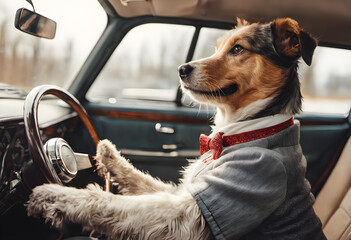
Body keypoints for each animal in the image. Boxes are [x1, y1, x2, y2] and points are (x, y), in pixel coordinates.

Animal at [25, 17, 328, 239]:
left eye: (238, 49)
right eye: (217, 47)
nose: (182, 69)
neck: (246, 130)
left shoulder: (193, 212)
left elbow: (110, 203)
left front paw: (52, 195)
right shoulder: (182, 192)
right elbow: (140, 180)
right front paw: (108, 155)